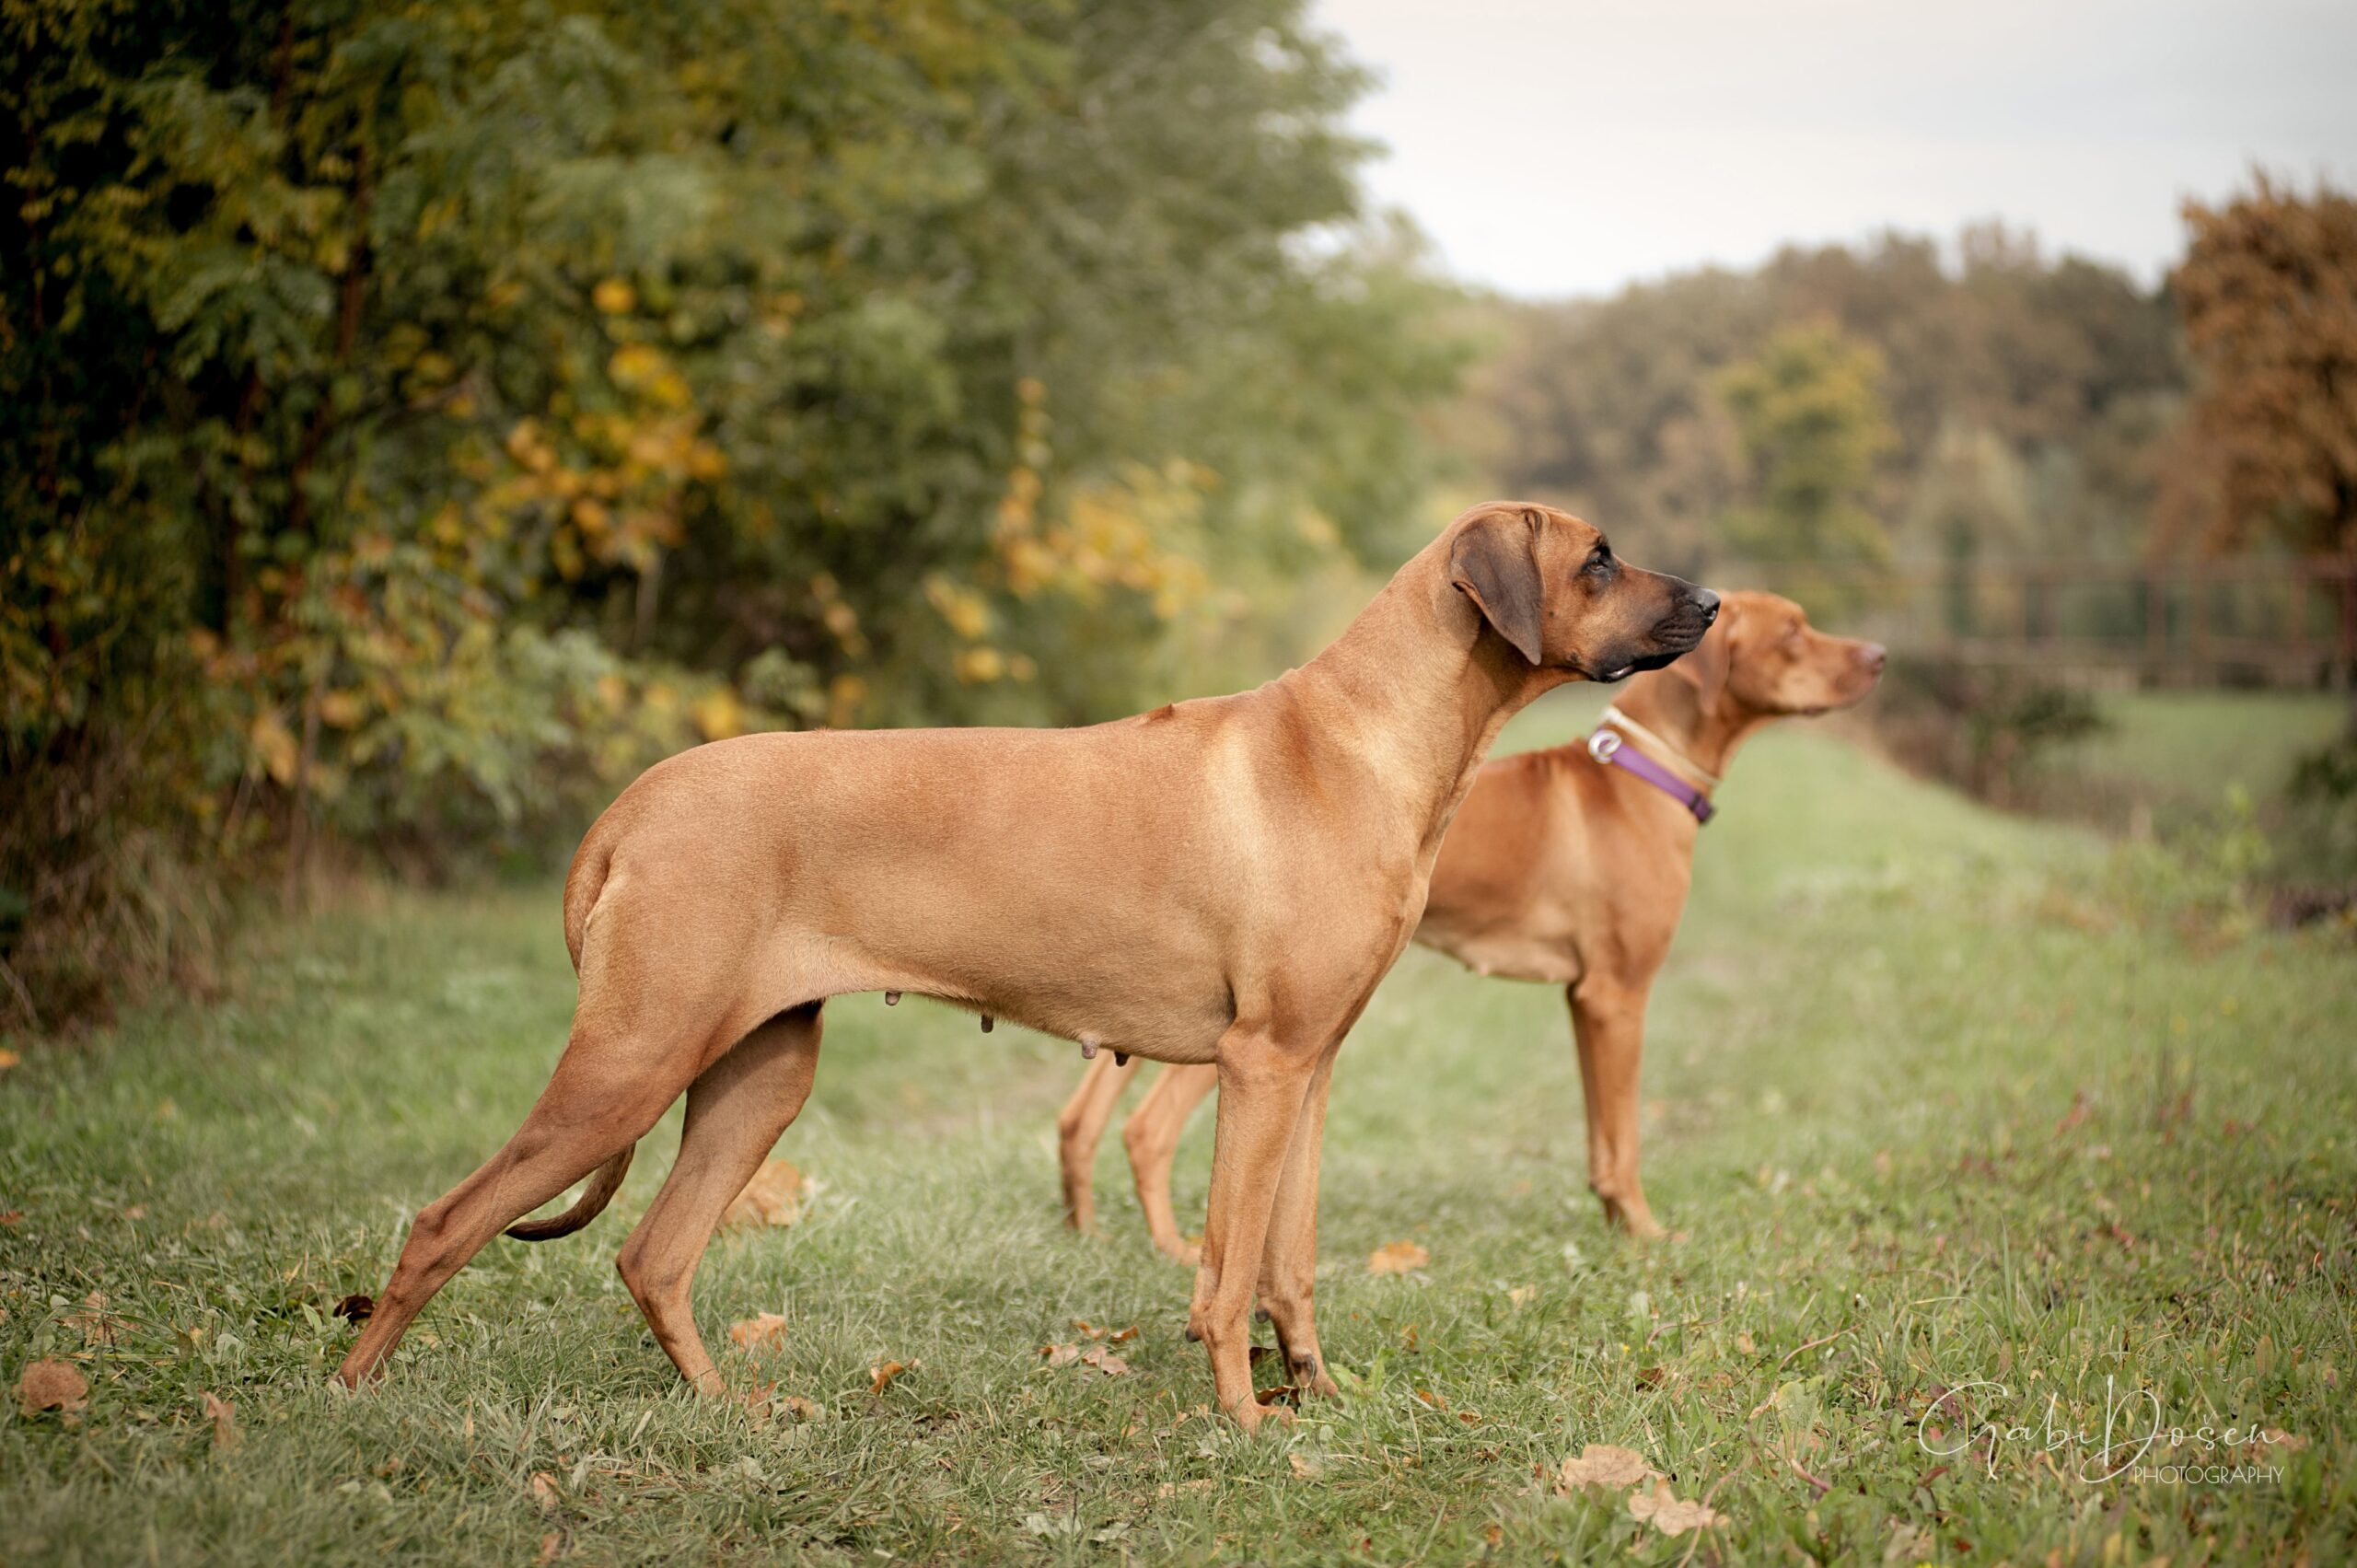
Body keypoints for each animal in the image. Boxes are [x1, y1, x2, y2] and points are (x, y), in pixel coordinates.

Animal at [331, 505, 1724, 1434]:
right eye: (1598, 558)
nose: (1712, 604)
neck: (1362, 739)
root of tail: (634, 802)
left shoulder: (1313, 1069)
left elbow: (1291, 1258)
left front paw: (1320, 1394)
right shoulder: (1262, 1065)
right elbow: (1226, 1270)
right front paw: (1246, 1423)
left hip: (757, 1070)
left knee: (652, 1256)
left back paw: (730, 1405)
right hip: (632, 1054)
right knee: (447, 1220)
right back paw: (347, 1401)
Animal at [1061, 589, 1886, 1263]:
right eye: (1793, 632)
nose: (1880, 656)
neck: (1640, 775)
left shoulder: (1585, 999)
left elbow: (1600, 1136)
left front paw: (1616, 1228)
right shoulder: (1620, 994)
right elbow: (1624, 1138)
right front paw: (1647, 1234)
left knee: (1084, 1116)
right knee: (1148, 1130)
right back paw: (1171, 1248)